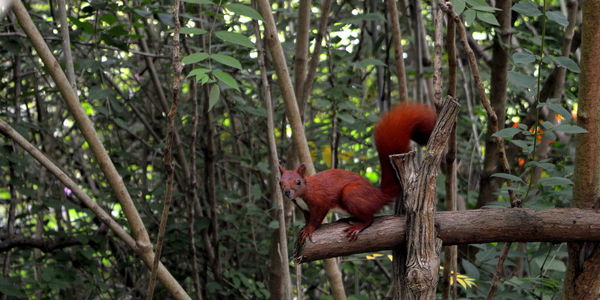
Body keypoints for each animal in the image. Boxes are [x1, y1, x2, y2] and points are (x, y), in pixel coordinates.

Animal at [276, 102, 436, 241]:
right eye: (280, 183)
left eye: (298, 182)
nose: (287, 192)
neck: (304, 193)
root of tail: (378, 196)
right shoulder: (304, 208)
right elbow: (307, 218)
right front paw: (304, 227)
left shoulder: (319, 201)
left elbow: (317, 219)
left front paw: (309, 229)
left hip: (352, 194)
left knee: (370, 218)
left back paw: (358, 226)